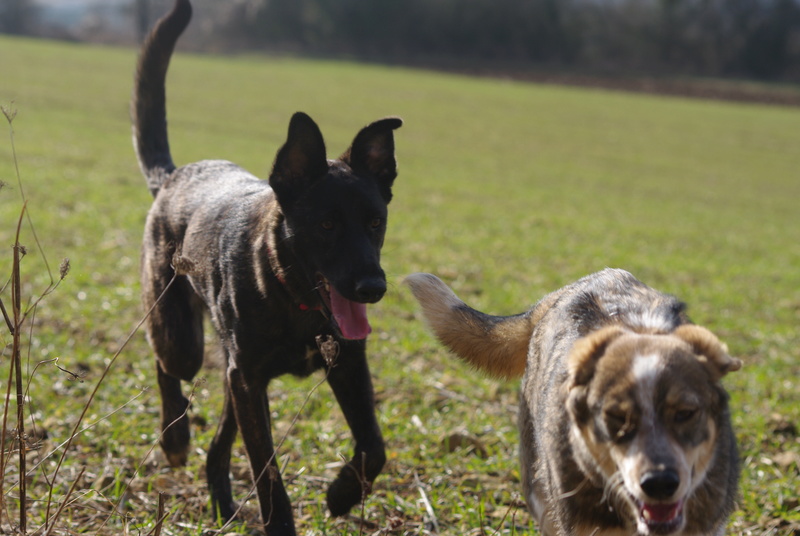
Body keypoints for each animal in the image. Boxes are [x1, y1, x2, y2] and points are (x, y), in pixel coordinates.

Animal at [134, 0, 404, 532]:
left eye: (375, 222)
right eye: (325, 225)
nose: (372, 287)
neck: (290, 294)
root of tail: (172, 176)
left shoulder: (345, 365)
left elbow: (374, 446)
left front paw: (342, 495)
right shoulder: (251, 381)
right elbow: (269, 476)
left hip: (232, 376)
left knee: (217, 448)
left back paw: (221, 503)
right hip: (186, 340)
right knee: (165, 363)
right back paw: (174, 438)